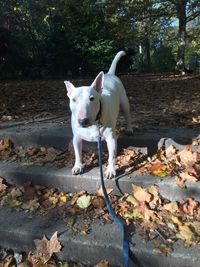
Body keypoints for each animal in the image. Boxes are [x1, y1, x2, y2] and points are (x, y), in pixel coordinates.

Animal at [64, 51, 133, 179]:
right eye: (73, 100)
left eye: (92, 98)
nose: (83, 121)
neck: (94, 123)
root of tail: (109, 74)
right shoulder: (76, 138)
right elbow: (77, 152)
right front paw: (78, 166)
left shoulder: (111, 138)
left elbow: (112, 156)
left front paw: (110, 170)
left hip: (124, 101)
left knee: (127, 114)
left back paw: (129, 129)